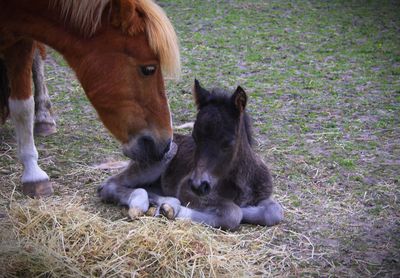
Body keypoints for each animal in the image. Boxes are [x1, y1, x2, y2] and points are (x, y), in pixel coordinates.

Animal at [0, 0, 180, 198]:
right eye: (149, 69)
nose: (166, 145)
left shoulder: (22, 42)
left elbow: (23, 106)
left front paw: (33, 173)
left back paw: (43, 117)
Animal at [98, 80, 282, 230]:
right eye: (195, 137)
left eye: (228, 142)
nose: (198, 185)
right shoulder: (187, 190)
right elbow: (233, 213)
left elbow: (275, 211)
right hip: (163, 156)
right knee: (109, 185)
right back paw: (144, 203)